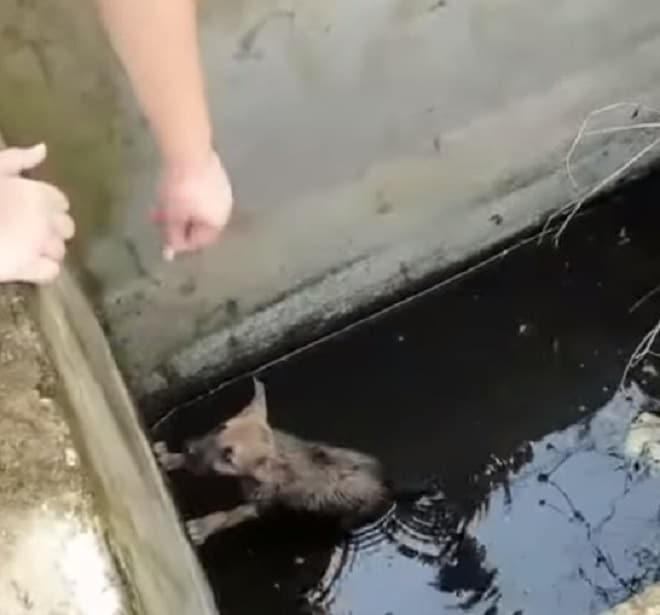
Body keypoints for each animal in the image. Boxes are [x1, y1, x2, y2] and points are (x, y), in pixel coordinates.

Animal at [153, 378, 392, 548]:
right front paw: (172, 458)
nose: (188, 447)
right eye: (222, 426)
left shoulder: (261, 503)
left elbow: (231, 514)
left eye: (229, 458)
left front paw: (203, 527)